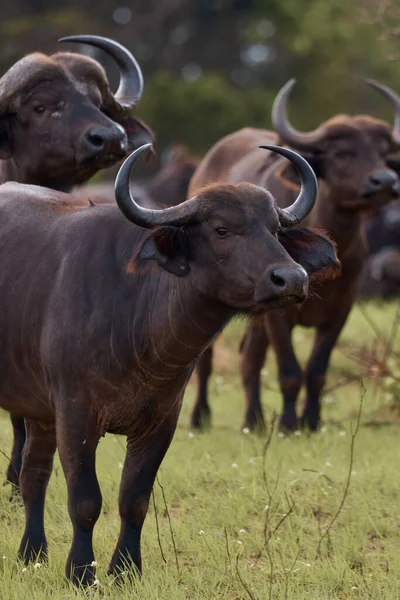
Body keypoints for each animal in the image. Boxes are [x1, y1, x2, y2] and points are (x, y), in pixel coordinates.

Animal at [0, 143, 340, 584]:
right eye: (221, 229)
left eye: (276, 230)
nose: (292, 278)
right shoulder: (75, 414)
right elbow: (85, 501)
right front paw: (80, 573)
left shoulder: (162, 421)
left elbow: (134, 500)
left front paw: (126, 570)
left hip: (39, 413)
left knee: (33, 478)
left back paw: (31, 554)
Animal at [189, 77, 400, 432]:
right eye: (342, 153)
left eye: (383, 154)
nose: (385, 181)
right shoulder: (279, 314)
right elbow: (289, 370)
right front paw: (288, 425)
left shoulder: (343, 308)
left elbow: (316, 370)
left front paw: (311, 422)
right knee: (207, 359)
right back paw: (200, 417)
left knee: (249, 356)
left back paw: (254, 420)